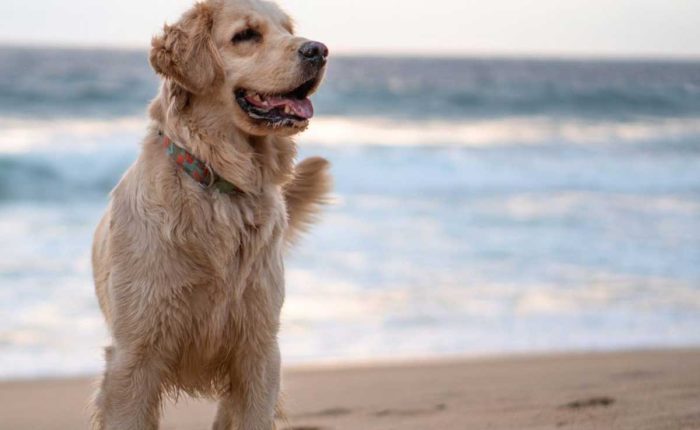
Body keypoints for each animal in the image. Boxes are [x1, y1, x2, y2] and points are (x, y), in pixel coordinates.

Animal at [89, 0, 330, 426]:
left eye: (287, 30)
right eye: (246, 35)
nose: (318, 50)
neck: (221, 184)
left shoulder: (258, 354)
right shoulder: (133, 360)